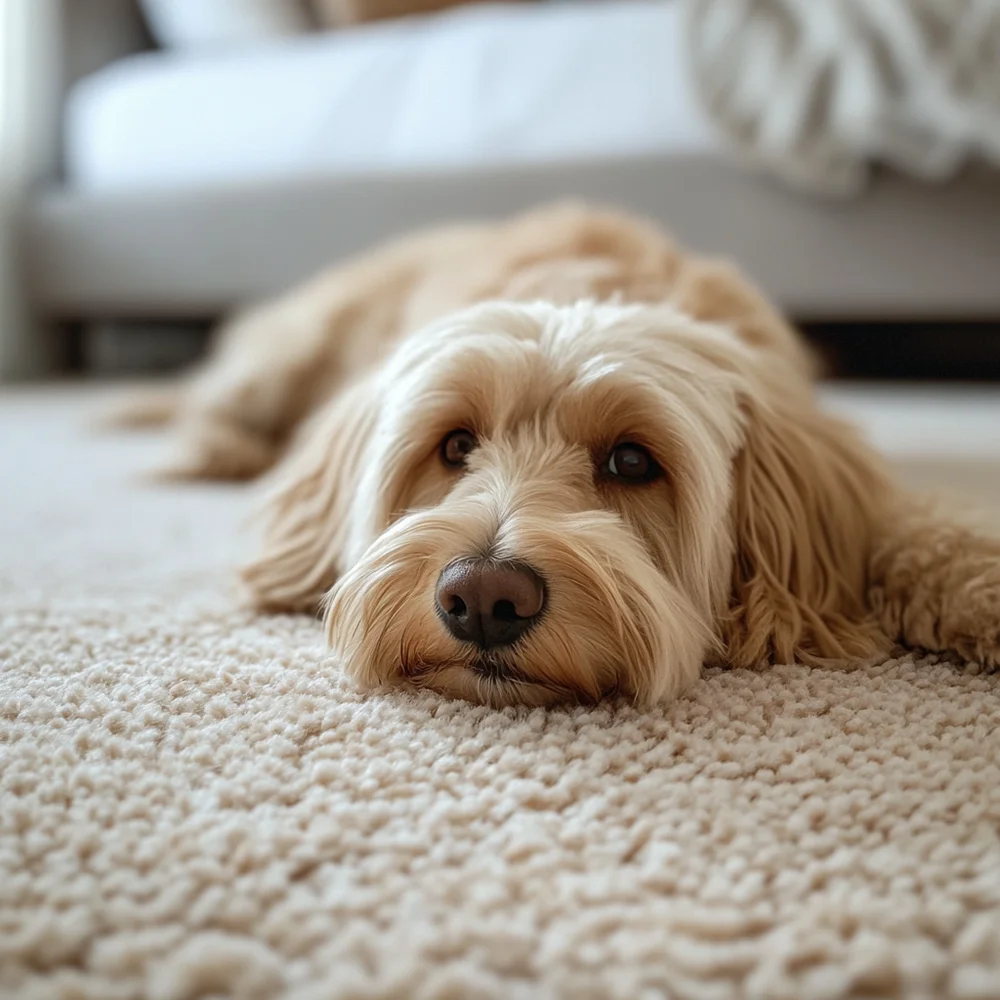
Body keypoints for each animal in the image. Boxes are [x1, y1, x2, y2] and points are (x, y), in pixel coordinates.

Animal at [115, 201, 1000, 704]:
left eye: (633, 461)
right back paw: (212, 448)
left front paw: (978, 593)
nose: (483, 597)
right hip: (290, 349)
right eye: (456, 444)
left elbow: (918, 534)